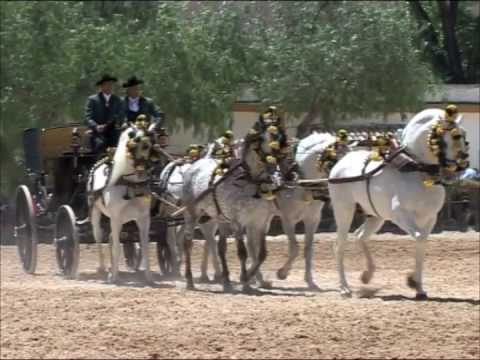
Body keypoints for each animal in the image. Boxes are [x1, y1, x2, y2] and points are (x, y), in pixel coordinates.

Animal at [86, 123, 161, 284]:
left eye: (154, 142)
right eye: (145, 145)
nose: (159, 162)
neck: (129, 183)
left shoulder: (143, 219)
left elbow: (145, 247)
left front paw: (149, 277)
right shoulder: (115, 218)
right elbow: (116, 247)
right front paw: (113, 277)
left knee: (110, 239)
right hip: (96, 212)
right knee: (98, 237)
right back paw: (103, 268)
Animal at [328, 107, 470, 298]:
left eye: (464, 134)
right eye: (454, 136)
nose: (461, 165)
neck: (415, 171)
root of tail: (341, 162)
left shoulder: (430, 218)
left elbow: (422, 243)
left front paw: (418, 287)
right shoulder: (400, 215)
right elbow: (419, 238)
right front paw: (412, 281)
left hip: (376, 216)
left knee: (360, 236)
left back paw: (367, 274)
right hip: (344, 210)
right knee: (340, 245)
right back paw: (344, 288)